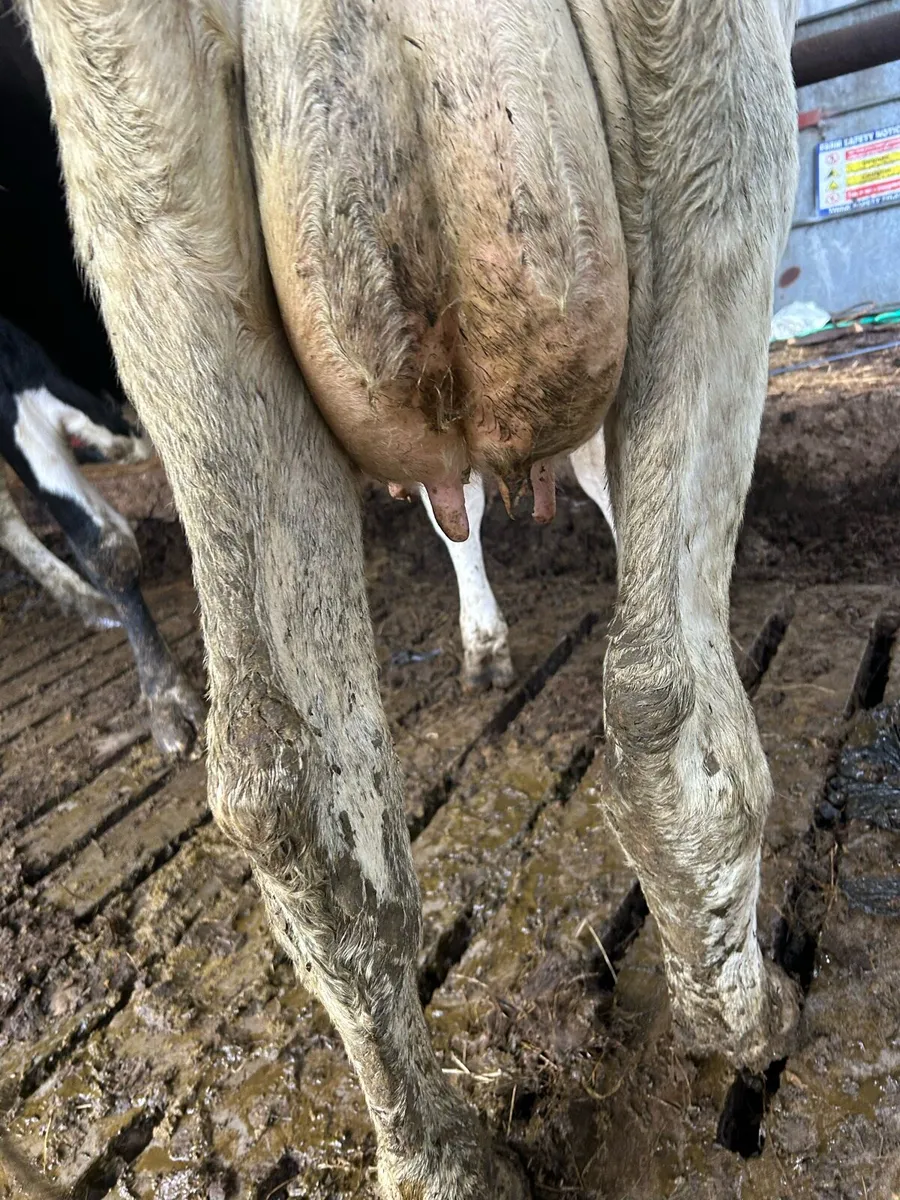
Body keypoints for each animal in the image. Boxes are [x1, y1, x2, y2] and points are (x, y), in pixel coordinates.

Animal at [19, 1, 800, 1195]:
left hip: (156, 214)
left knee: (285, 786)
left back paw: (439, 1158)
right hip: (713, 115)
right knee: (664, 694)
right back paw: (744, 1024)